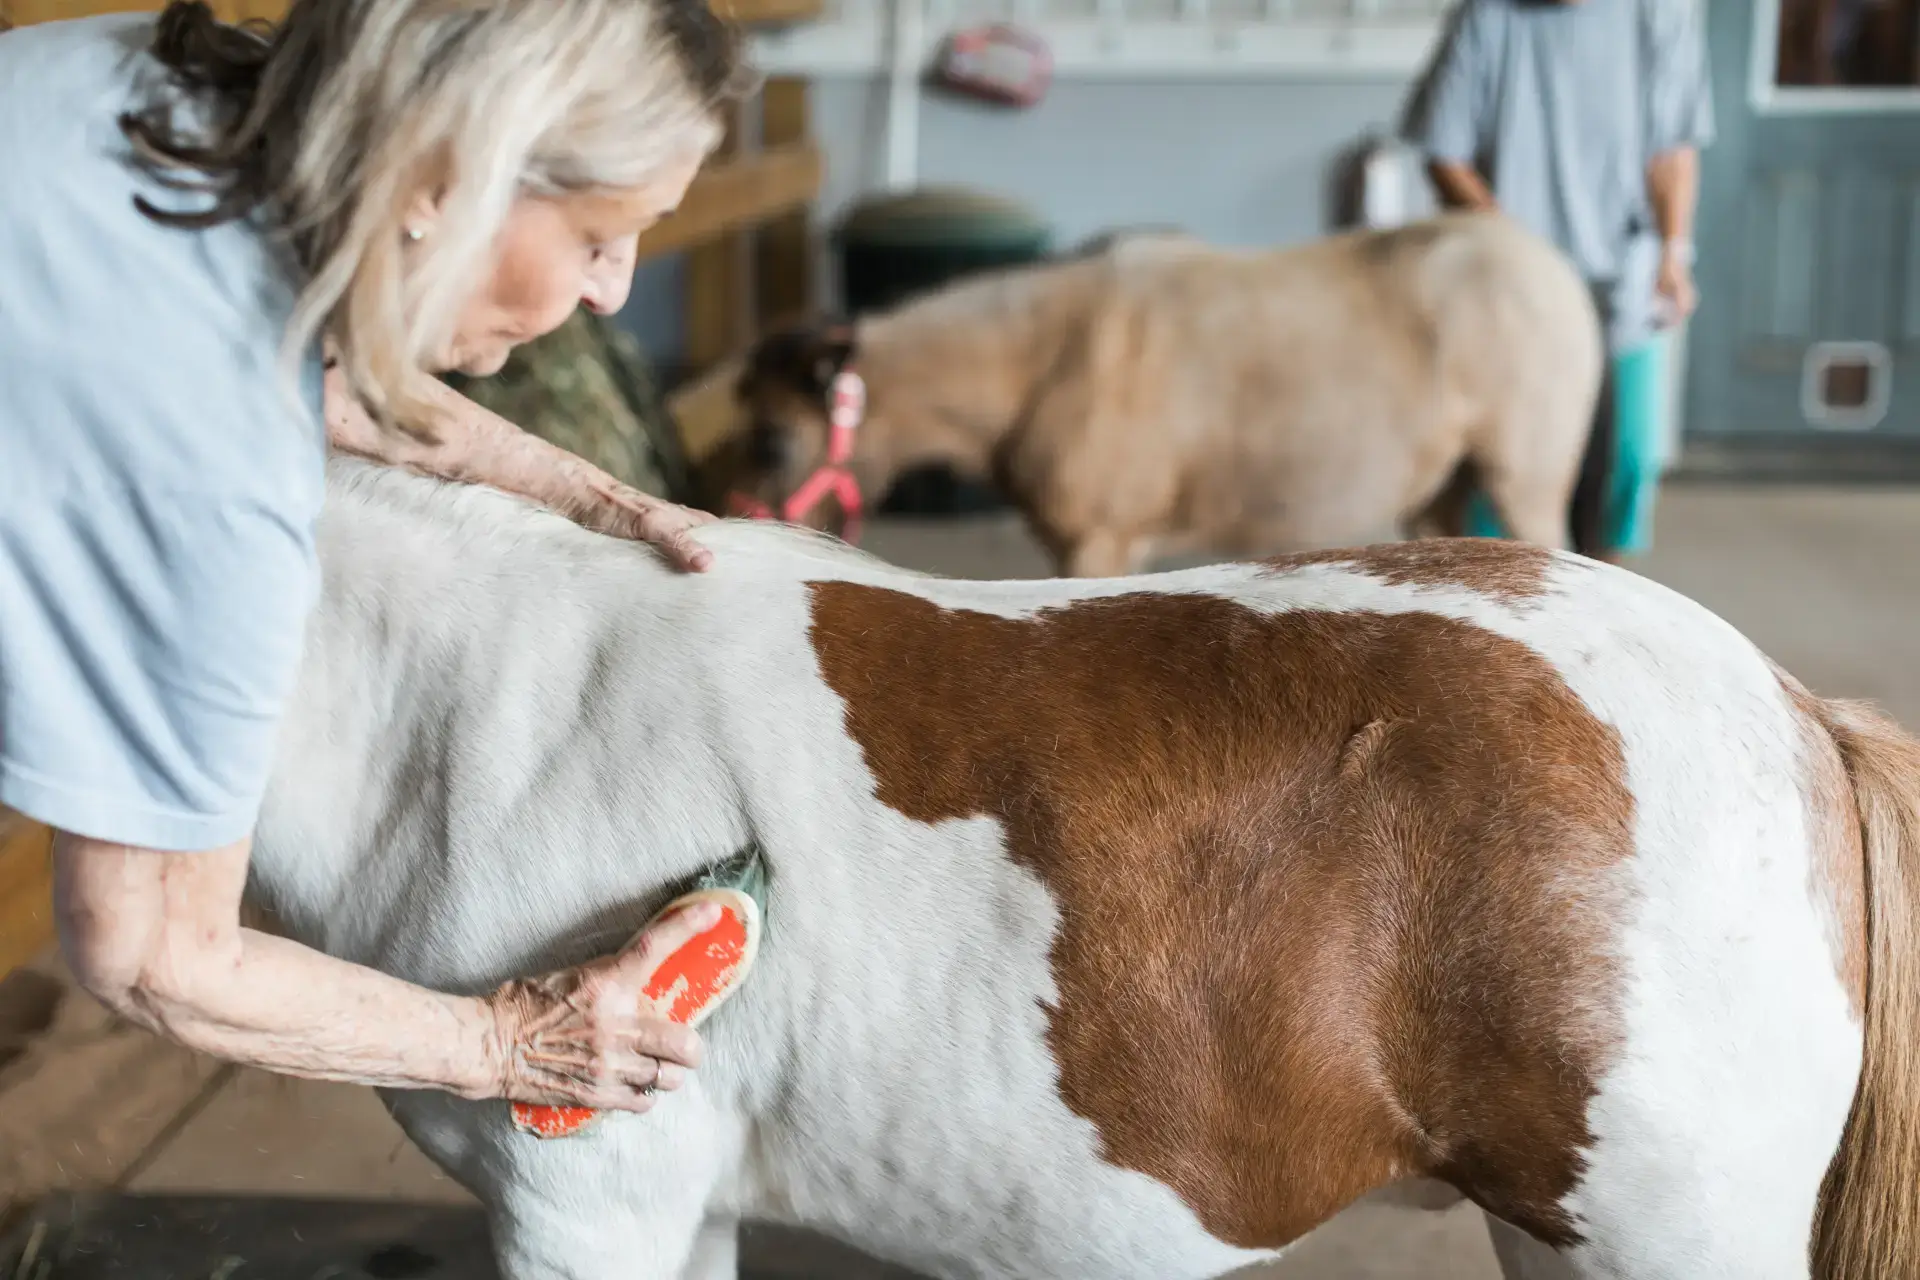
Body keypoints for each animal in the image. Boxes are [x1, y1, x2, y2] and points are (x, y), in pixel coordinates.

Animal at [709, 212, 1608, 578]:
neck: (1050, 360)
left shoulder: (1099, 545)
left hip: (1524, 489)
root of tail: (1553, 271)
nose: (729, 532)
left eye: (773, 441)